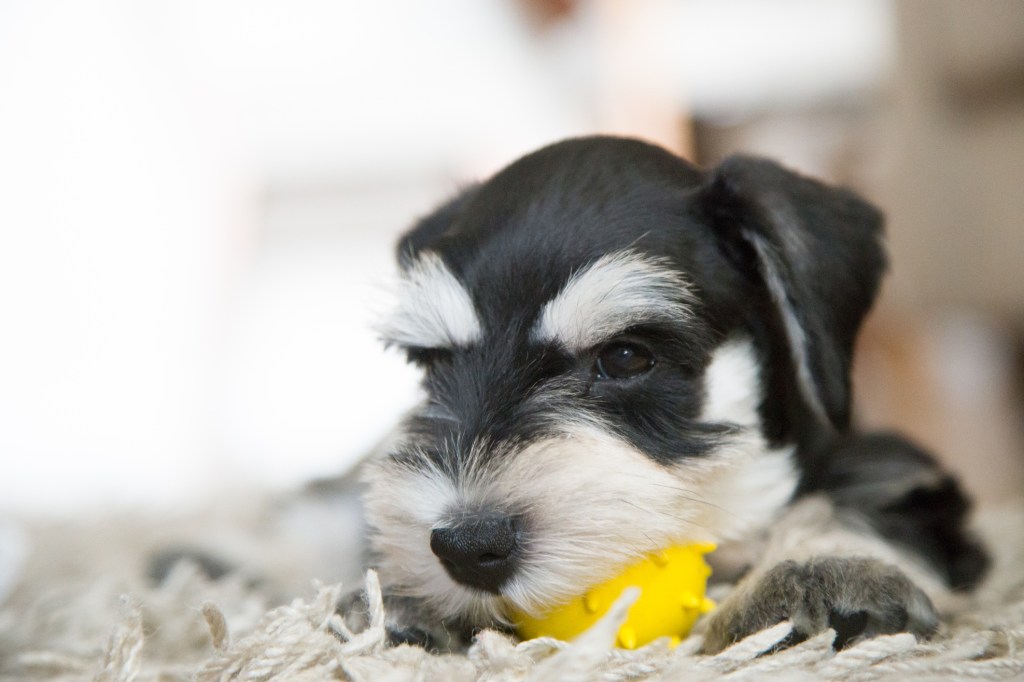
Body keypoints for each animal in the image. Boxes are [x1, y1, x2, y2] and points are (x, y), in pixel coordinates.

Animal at [356, 135, 987, 651]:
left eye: (626, 356)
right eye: (435, 363)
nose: (465, 546)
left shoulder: (906, 478)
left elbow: (865, 504)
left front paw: (826, 565)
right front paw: (393, 600)